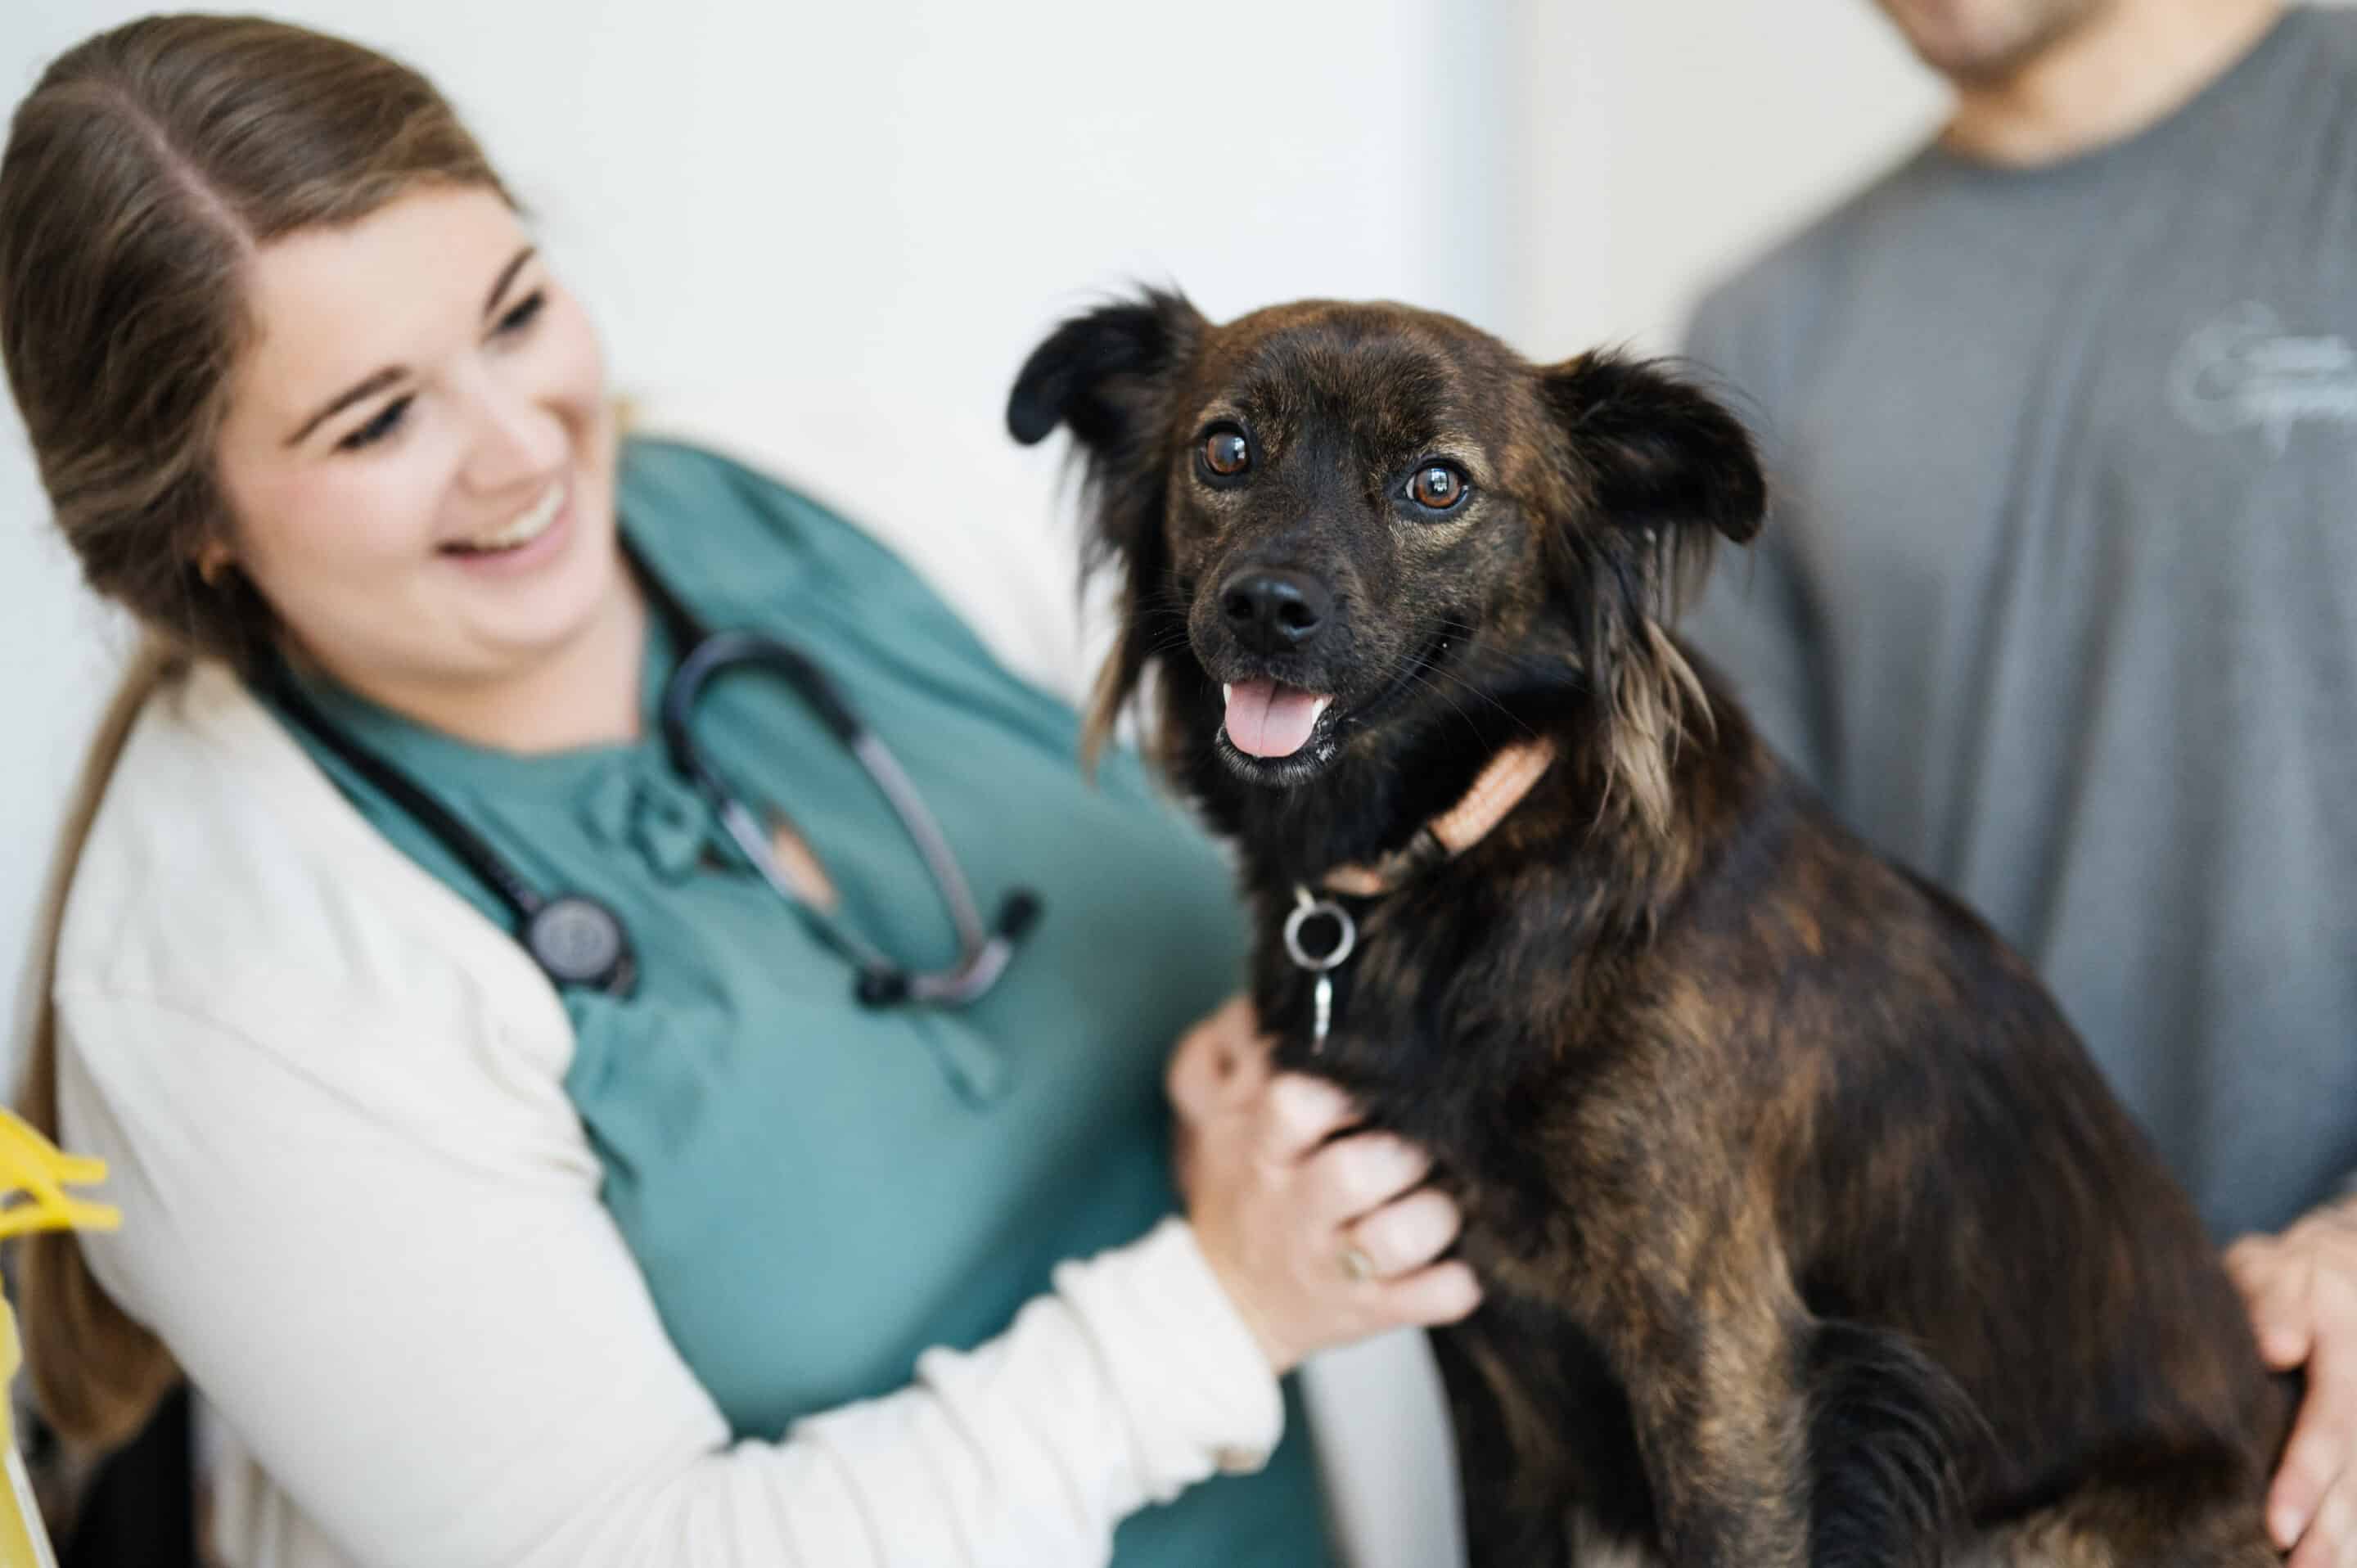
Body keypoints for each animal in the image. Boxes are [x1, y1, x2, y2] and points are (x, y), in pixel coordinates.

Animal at [1008, 290, 2281, 1566]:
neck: (1457, 861)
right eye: (1224, 451)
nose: (1267, 608)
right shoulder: (1486, 1367)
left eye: (1436, 484)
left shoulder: (1722, 1358)